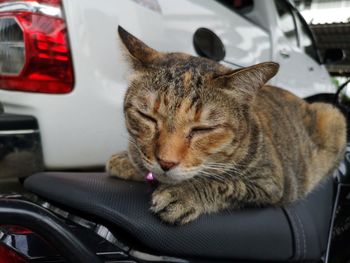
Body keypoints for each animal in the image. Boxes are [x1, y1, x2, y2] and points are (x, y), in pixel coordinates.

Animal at [107, 25, 348, 226]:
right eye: (147, 116)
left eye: (203, 129)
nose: (166, 162)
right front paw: (128, 160)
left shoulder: (270, 182)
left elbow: (226, 183)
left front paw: (184, 193)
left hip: (332, 116)